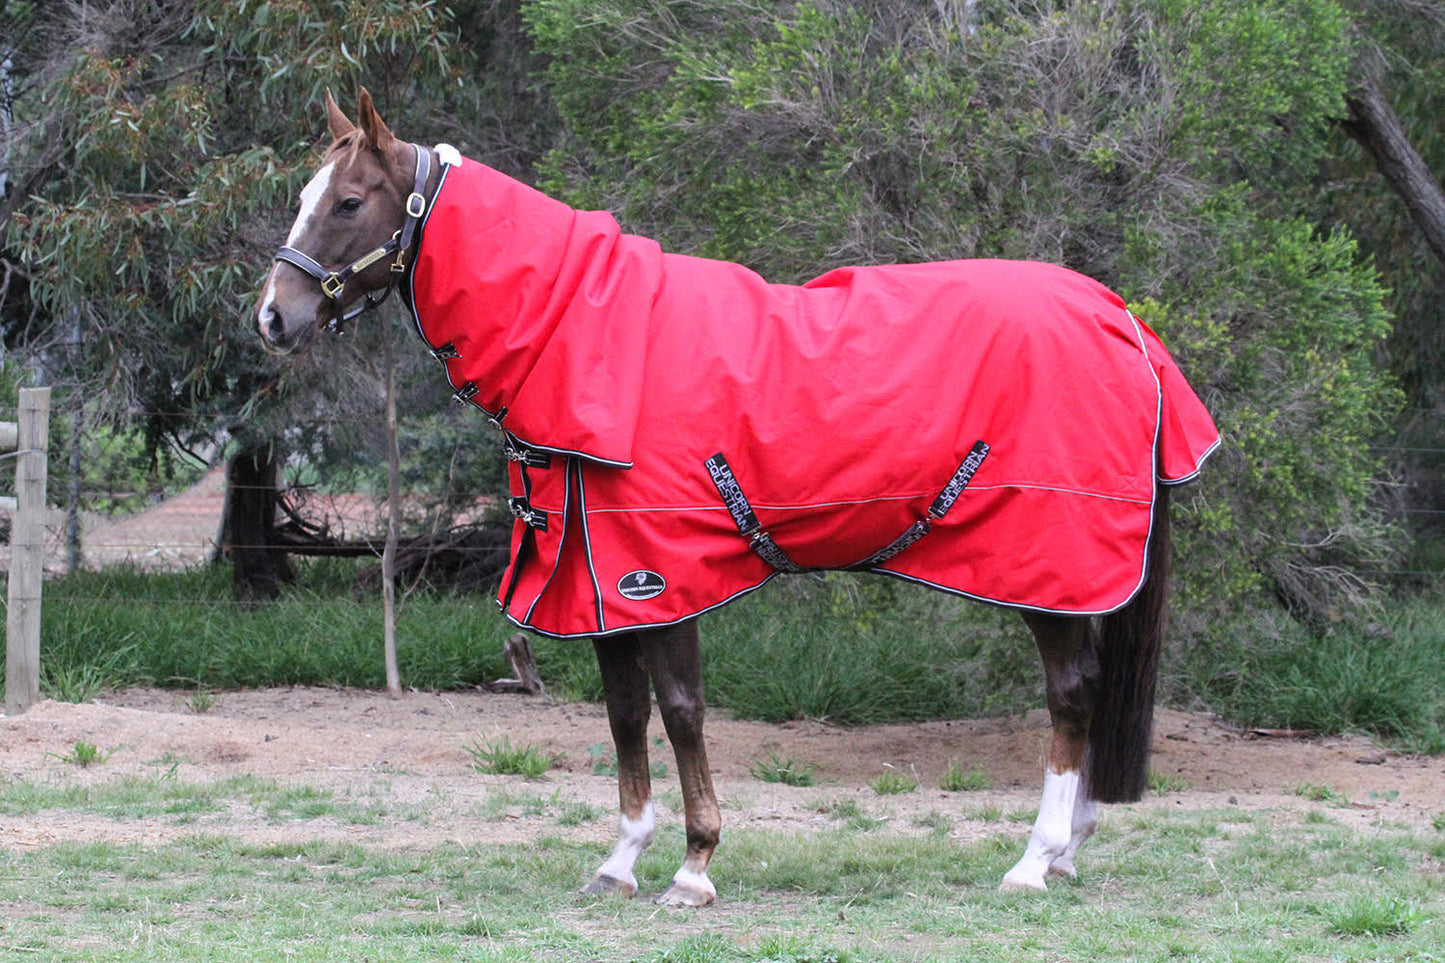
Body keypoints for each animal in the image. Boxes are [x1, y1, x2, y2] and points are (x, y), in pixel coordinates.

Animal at [253, 89, 1219, 906]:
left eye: (348, 202)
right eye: (308, 196)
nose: (271, 317)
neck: (591, 339)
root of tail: (1123, 321)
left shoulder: (660, 574)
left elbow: (681, 711)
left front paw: (695, 865)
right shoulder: (598, 583)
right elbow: (624, 714)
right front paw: (621, 860)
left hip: (1046, 566)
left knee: (1071, 694)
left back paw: (1032, 859)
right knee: (1087, 693)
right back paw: (1066, 851)